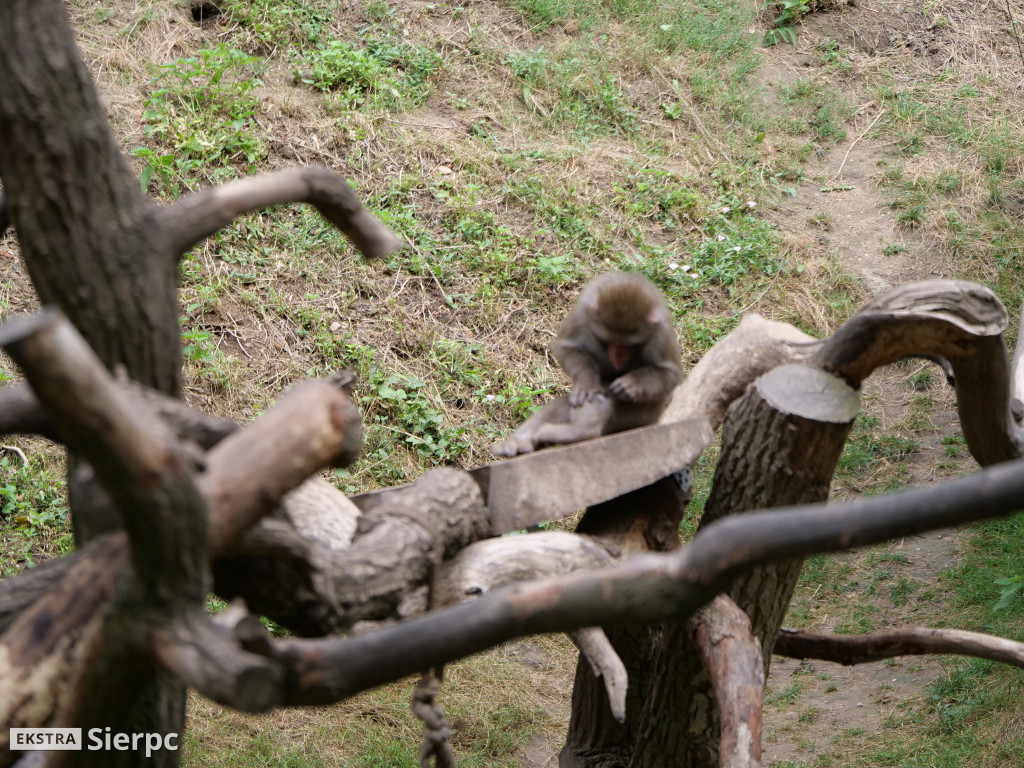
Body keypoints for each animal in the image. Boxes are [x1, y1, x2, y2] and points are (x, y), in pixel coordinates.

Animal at [491, 272, 684, 456]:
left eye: (630, 346)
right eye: (607, 341)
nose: (618, 358)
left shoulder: (662, 332)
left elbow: (671, 374)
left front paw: (632, 384)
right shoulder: (581, 315)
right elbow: (566, 348)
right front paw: (587, 382)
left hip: (642, 417)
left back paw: (582, 431)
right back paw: (522, 442)